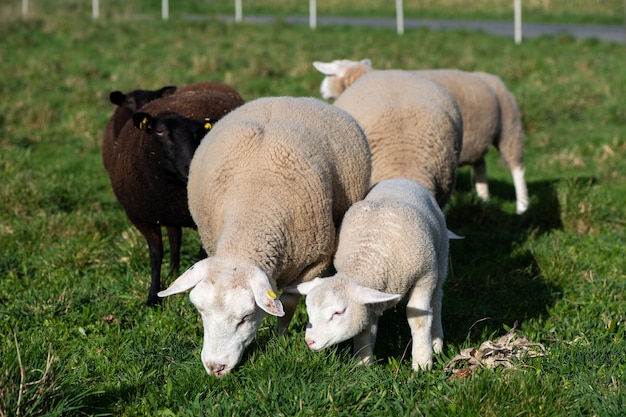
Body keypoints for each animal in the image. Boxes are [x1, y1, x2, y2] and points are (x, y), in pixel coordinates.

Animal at [105, 89, 244, 304]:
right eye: (160, 132)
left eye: (197, 134)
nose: (189, 168)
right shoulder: (141, 217)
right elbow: (157, 254)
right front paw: (153, 296)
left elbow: (201, 256)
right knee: (175, 238)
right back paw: (173, 274)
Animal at [156, 96, 370, 376]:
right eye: (200, 311)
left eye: (246, 317)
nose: (215, 368)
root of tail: (285, 98)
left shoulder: (313, 264)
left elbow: (287, 305)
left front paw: (280, 338)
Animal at [288, 178, 448, 370]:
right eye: (309, 310)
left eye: (338, 313)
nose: (309, 342)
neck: (370, 255)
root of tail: (399, 179)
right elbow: (363, 326)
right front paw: (362, 363)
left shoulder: (425, 276)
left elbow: (419, 319)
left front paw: (422, 363)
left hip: (440, 257)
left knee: (437, 299)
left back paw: (437, 342)